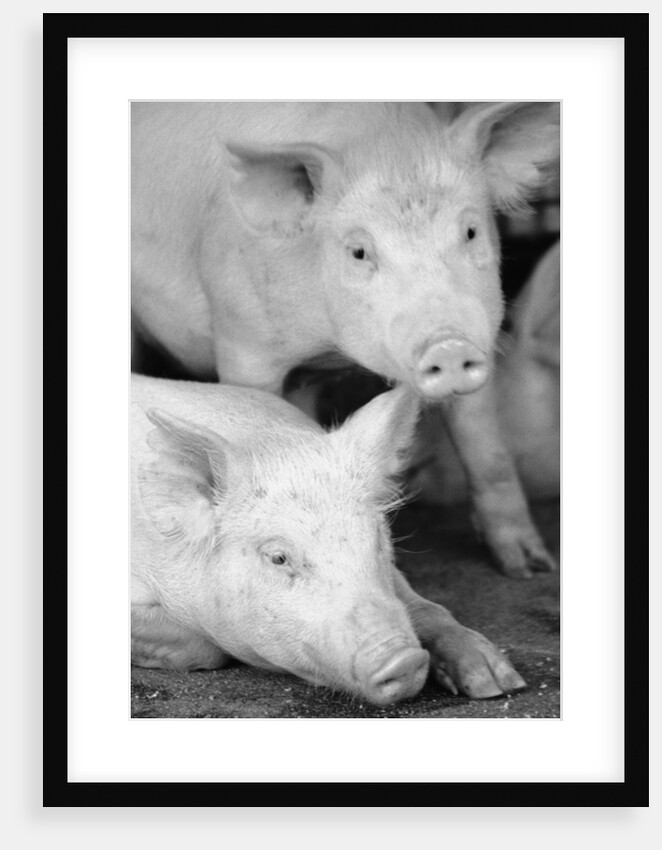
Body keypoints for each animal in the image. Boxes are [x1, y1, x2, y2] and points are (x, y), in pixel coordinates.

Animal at [131, 101, 560, 578]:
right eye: (359, 252)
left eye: (469, 232)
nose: (449, 346)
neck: (330, 347)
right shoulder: (242, 341)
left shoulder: (483, 328)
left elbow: (487, 450)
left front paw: (532, 568)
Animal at [131, 374, 525, 705]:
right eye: (278, 557)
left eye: (377, 538)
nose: (404, 658)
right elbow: (206, 648)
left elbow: (426, 608)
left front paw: (497, 683)